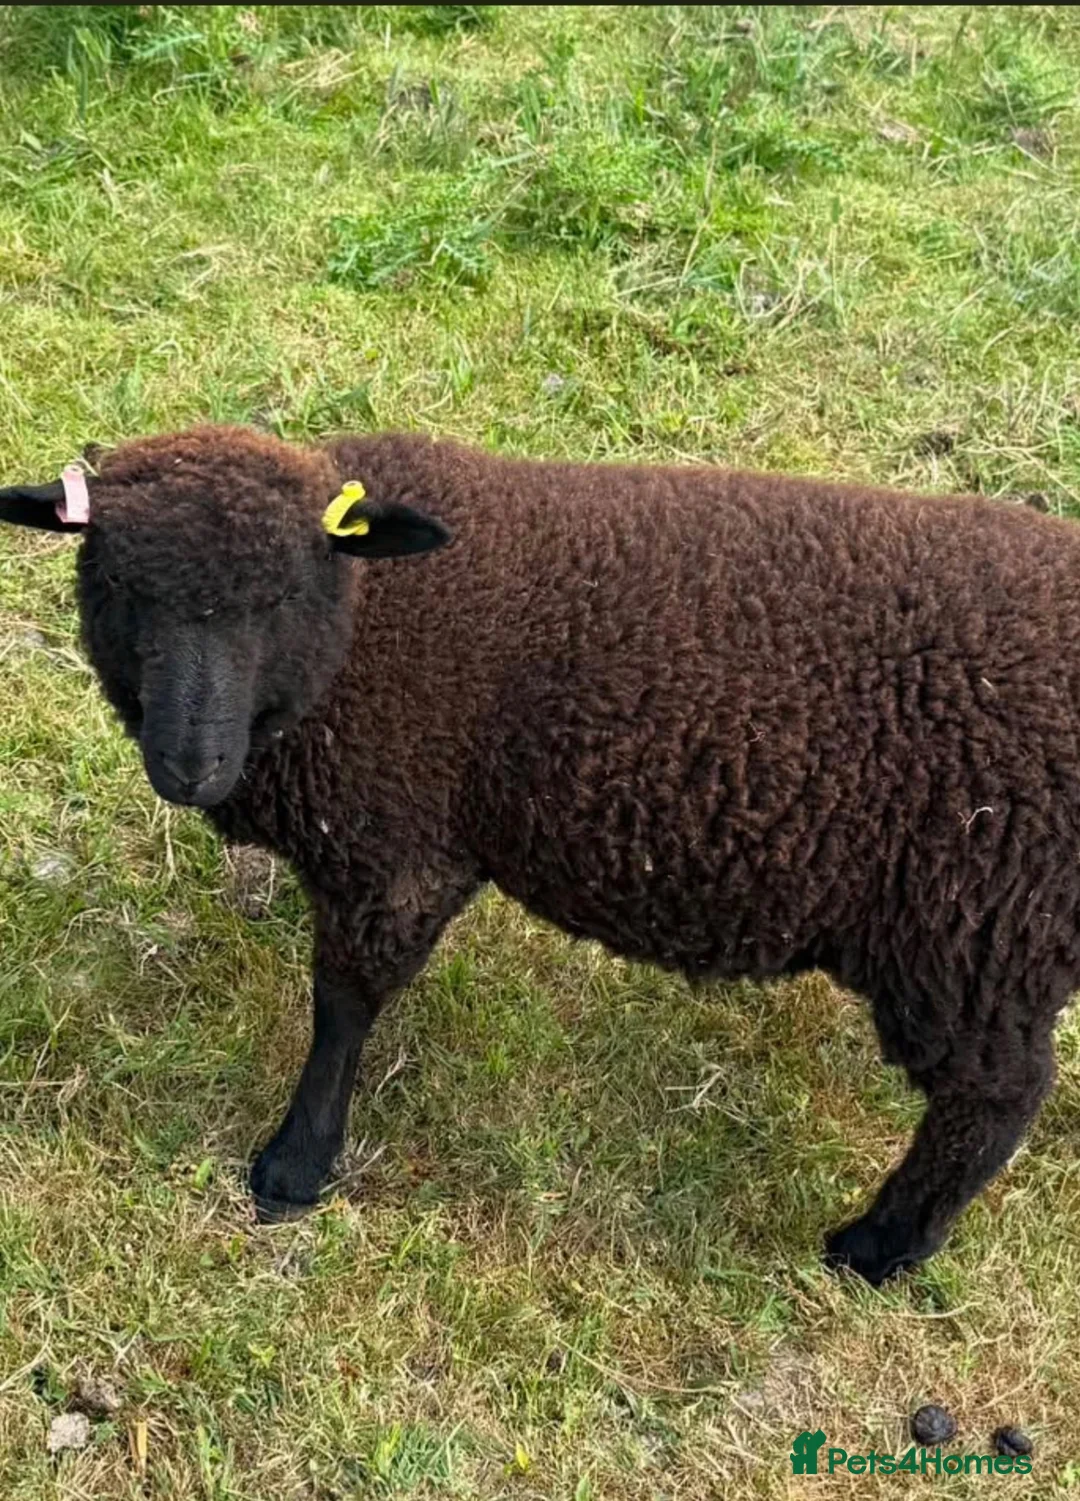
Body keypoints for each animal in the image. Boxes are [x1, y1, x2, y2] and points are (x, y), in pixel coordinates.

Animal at [3, 422, 1080, 1286]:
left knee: (993, 1099)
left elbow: (342, 1006)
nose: (191, 765)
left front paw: (295, 1167)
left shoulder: (396, 843)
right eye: (119, 586)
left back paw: (878, 1247)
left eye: (277, 598)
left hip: (975, 926)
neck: (360, 624)